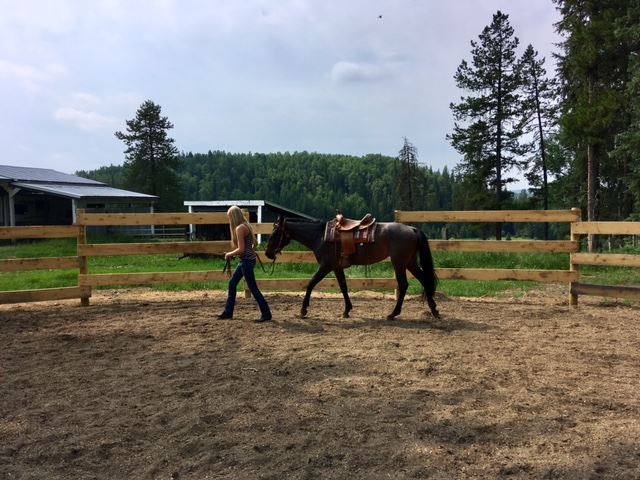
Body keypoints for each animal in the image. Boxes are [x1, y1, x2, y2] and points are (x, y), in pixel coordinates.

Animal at [264, 215, 440, 320]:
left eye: (274, 234)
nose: (267, 253)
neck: (320, 236)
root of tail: (412, 229)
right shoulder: (337, 267)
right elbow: (343, 287)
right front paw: (347, 310)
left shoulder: (326, 266)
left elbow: (311, 284)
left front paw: (303, 310)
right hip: (410, 263)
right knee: (424, 280)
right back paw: (434, 310)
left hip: (400, 263)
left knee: (403, 285)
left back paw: (393, 313)